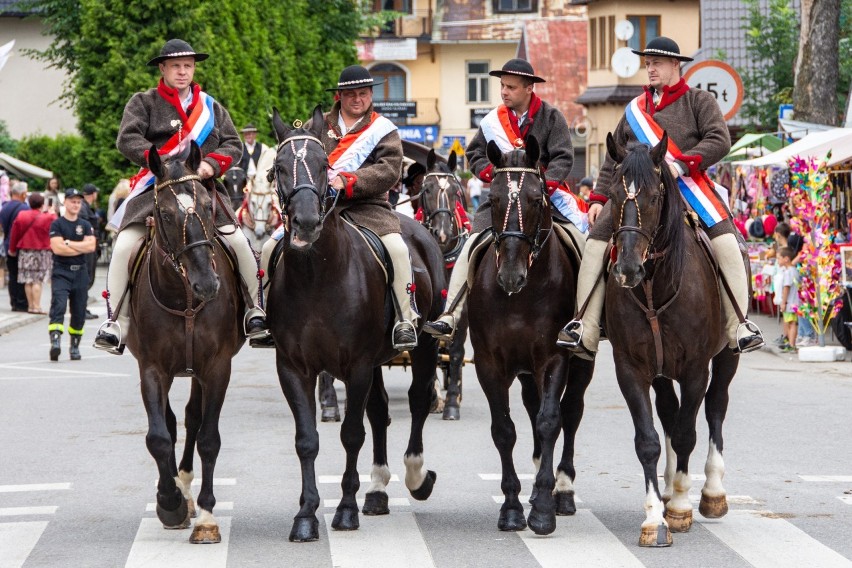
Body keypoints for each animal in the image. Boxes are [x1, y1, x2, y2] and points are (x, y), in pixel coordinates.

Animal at [127, 140, 246, 544]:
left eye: (209, 206)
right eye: (163, 214)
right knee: (172, 421)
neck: (185, 298)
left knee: (194, 418)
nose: (207, 283)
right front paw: (170, 503)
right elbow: (158, 436)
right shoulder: (151, 369)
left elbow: (209, 437)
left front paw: (207, 518)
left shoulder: (218, 368)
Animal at [268, 105, 446, 540]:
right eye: (279, 167)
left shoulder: (358, 365)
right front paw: (306, 514)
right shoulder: (293, 367)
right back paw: (378, 489)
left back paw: (416, 477)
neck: (317, 274)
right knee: (380, 411)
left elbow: (351, 434)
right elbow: (307, 439)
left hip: (425, 344)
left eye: (324, 165)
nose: (306, 223)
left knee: (418, 401)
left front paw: (345, 509)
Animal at [466, 135, 592, 536]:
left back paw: (561, 491)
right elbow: (504, 429)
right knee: (534, 406)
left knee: (571, 411)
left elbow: (551, 421)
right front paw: (512, 507)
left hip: (580, 364)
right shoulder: (489, 364)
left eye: (537, 199)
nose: (510, 274)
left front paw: (543, 511)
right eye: (492, 199)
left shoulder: (554, 358)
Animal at [604, 132, 740, 544]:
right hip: (662, 371)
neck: (654, 288)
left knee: (715, 408)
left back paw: (711, 492)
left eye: (653, 196)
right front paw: (654, 518)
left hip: (727, 357)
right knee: (668, 410)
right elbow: (648, 439)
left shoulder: (696, 370)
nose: (627, 268)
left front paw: (681, 507)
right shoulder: (631, 369)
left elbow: (685, 433)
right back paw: (667, 487)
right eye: (613, 194)